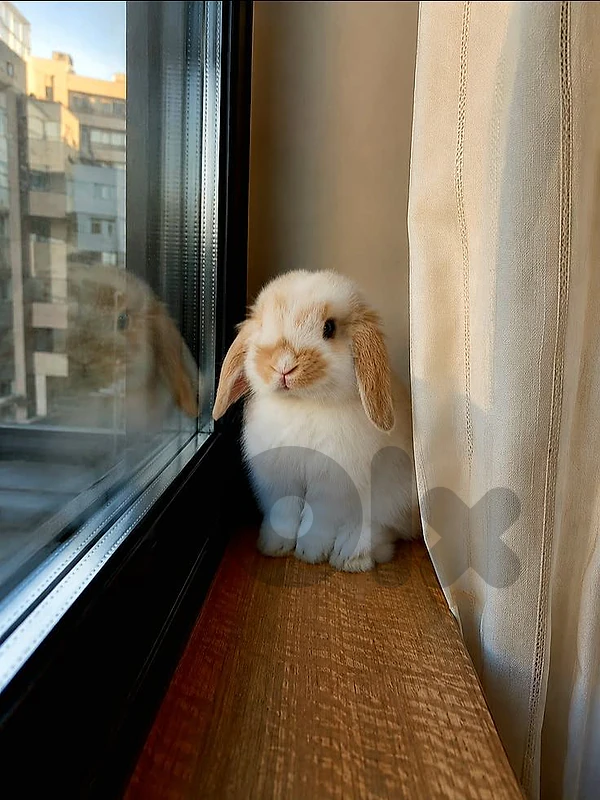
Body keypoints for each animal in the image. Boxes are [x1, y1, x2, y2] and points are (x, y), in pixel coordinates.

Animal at [212, 269, 417, 572]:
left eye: (329, 328)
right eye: (263, 326)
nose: (284, 366)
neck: (301, 403)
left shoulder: (331, 485)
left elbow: (317, 519)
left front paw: (309, 552)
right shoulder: (279, 479)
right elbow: (284, 512)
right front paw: (273, 546)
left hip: (393, 497)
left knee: (382, 530)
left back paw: (350, 556)